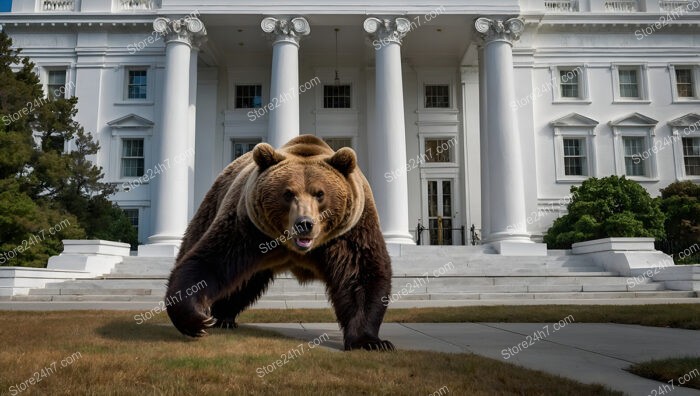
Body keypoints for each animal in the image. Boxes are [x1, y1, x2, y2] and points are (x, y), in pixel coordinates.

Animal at [165, 135, 394, 350]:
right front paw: (197, 318)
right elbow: (210, 262)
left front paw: (371, 342)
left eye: (320, 193)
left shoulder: (349, 235)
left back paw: (224, 316)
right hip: (214, 204)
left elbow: (361, 275)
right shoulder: (247, 228)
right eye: (288, 193)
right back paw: (220, 317)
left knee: (245, 284)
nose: (304, 224)